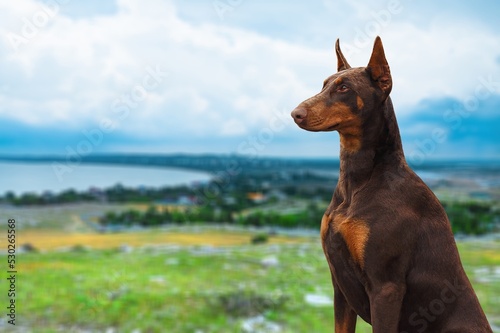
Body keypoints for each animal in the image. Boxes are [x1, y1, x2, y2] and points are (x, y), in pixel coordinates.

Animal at [292, 37, 490, 332]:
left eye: (344, 88)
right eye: (324, 84)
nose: (295, 114)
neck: (359, 182)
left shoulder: (385, 288)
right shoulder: (340, 286)